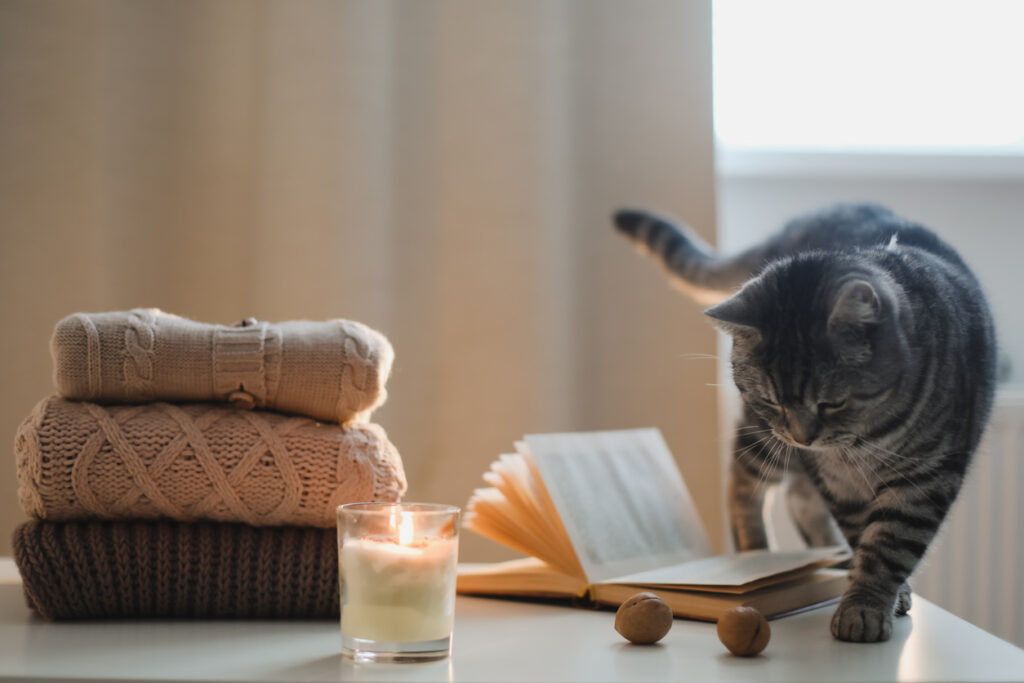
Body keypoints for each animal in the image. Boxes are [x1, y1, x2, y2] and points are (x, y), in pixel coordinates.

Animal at [610, 201, 995, 643]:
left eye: (832, 403)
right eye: (770, 400)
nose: (803, 437)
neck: (864, 441)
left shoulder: (925, 476)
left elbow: (889, 545)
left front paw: (866, 601)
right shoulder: (838, 479)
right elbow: (867, 535)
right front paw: (868, 601)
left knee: (797, 499)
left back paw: (832, 556)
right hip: (765, 440)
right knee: (744, 486)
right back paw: (758, 556)